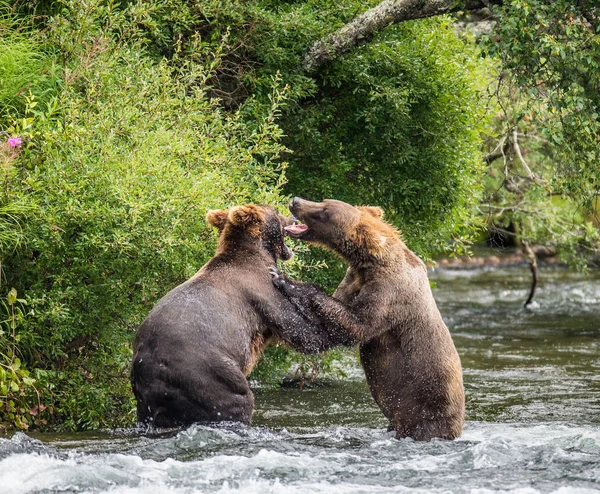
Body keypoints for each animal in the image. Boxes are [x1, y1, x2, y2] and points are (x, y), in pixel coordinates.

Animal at [131, 205, 346, 428]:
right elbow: (303, 333)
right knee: (237, 402)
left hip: (148, 402)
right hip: (209, 376)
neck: (259, 253)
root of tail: (149, 370)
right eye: (275, 211)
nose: (292, 216)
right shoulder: (262, 293)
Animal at [272, 197, 464, 440]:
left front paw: (285, 279)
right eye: (324, 201)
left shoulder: (389, 293)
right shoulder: (354, 279)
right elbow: (328, 329)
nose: (295, 201)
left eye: (324, 212)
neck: (370, 262)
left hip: (428, 406)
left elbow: (355, 325)